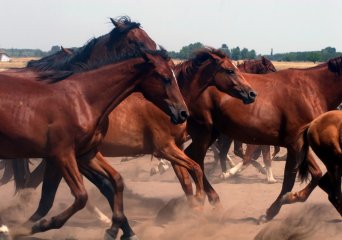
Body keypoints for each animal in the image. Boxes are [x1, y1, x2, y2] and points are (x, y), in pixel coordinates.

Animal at [172, 55, 342, 220]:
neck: (312, 89)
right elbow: (290, 180)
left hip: (212, 132)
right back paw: (213, 197)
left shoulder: (299, 144)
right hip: (204, 132)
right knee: (196, 159)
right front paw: (274, 209)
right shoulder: (295, 143)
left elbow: (315, 175)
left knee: (192, 157)